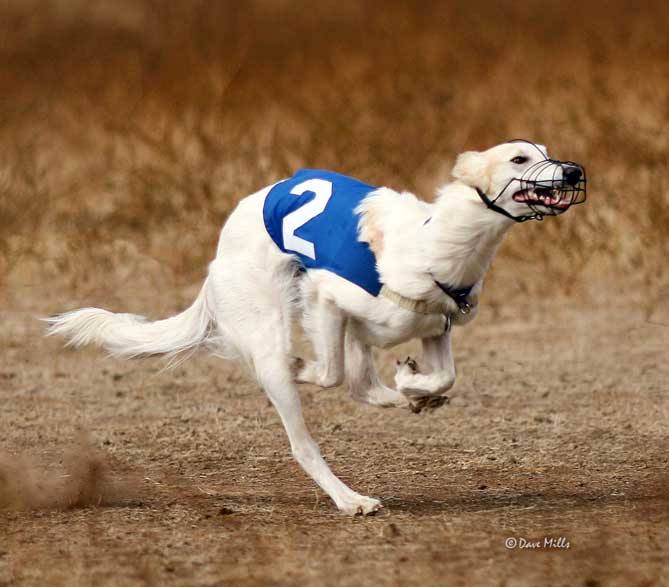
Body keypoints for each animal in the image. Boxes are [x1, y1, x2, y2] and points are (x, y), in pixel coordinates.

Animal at [45, 140, 584, 516]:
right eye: (519, 158)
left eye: (547, 152)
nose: (575, 171)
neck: (433, 243)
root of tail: (219, 251)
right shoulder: (328, 296)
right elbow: (328, 375)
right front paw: (315, 367)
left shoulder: (434, 326)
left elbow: (437, 376)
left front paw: (415, 385)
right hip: (274, 326)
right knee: (304, 430)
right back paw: (351, 499)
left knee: (364, 386)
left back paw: (408, 402)